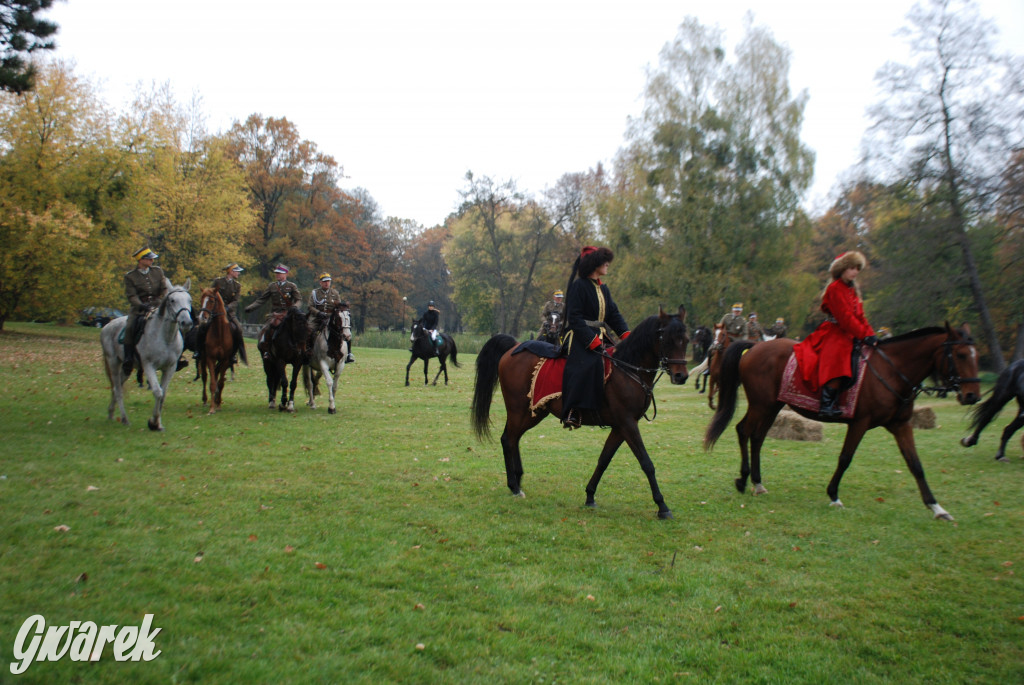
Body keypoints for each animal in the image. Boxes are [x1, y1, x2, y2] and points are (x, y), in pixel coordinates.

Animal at [101, 276, 193, 427]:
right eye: (172, 300)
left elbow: (163, 394)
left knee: (117, 387)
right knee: (118, 390)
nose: (187, 323)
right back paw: (124, 418)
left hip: (126, 368)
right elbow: (157, 392)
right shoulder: (149, 365)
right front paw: (154, 422)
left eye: (189, 300)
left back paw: (110, 413)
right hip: (113, 362)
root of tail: (106, 326)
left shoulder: (170, 367)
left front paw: (158, 423)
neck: (165, 338)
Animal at [471, 305, 688, 518]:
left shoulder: (620, 427)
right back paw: (514, 486)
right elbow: (646, 462)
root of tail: (515, 347)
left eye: (686, 340)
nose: (681, 376)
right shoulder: (627, 423)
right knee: (508, 439)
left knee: (513, 439)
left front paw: (590, 495)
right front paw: (662, 506)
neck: (628, 370)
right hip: (519, 410)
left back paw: (517, 480)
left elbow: (604, 460)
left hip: (533, 413)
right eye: (668, 339)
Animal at [704, 325, 983, 518]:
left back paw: (757, 482)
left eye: (975, 355)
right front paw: (834, 495)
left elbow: (915, 464)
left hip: (772, 406)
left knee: (757, 437)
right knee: (744, 431)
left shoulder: (901, 425)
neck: (892, 370)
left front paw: (936, 507)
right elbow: (846, 458)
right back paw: (744, 479)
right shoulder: (860, 422)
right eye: (960, 354)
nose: (972, 395)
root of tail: (755, 347)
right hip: (762, 405)